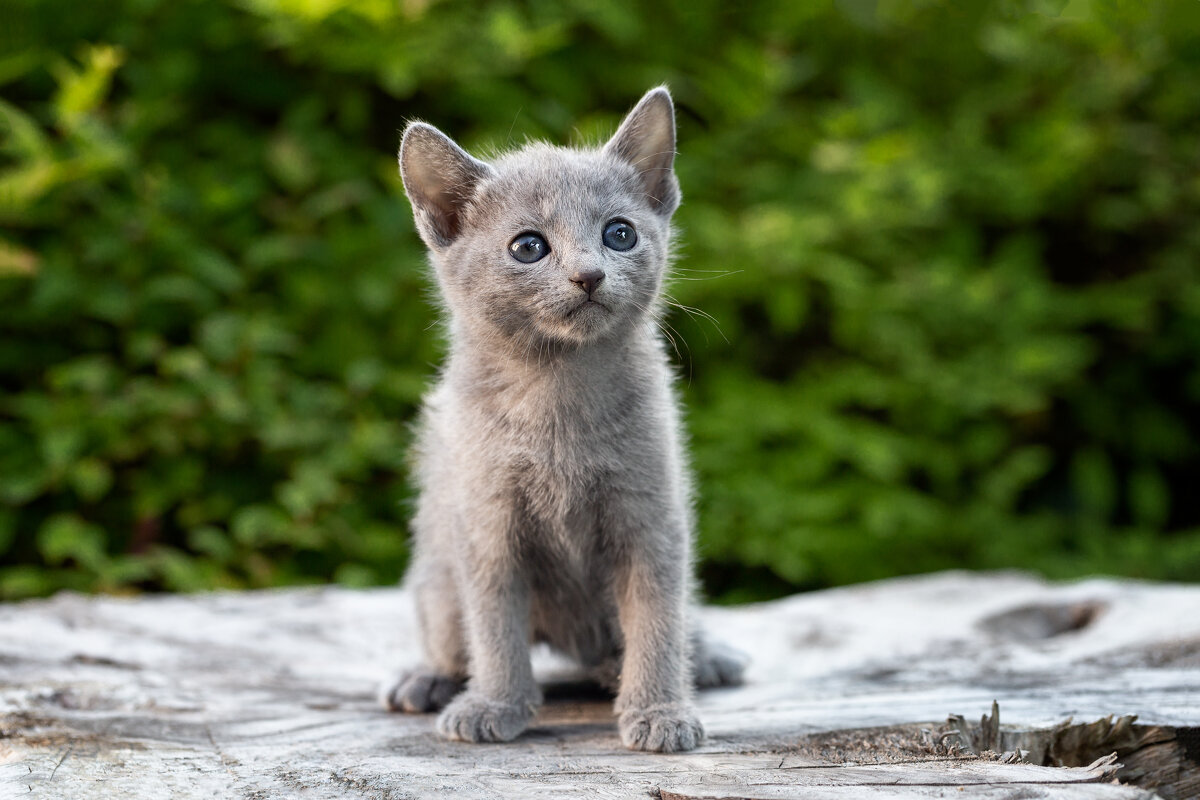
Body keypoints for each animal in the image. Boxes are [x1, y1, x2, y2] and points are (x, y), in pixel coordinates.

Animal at [379, 89, 744, 758]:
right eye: (529, 246)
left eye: (619, 234)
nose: (589, 274)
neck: (559, 391)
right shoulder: (487, 524)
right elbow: (495, 625)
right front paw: (496, 704)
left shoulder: (651, 517)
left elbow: (658, 619)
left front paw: (659, 710)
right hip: (436, 574)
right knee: (450, 634)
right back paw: (428, 678)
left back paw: (691, 659)